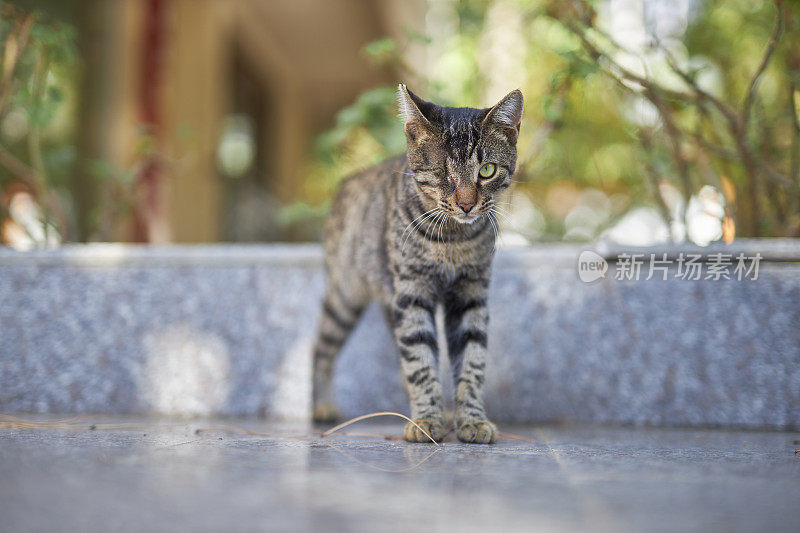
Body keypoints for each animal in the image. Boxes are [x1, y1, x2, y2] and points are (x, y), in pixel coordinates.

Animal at [312, 84, 524, 440]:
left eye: (487, 171)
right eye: (442, 172)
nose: (466, 204)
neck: (452, 239)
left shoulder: (470, 293)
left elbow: (472, 360)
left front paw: (471, 419)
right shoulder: (411, 292)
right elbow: (420, 359)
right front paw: (425, 420)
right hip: (346, 294)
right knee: (322, 347)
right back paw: (322, 406)